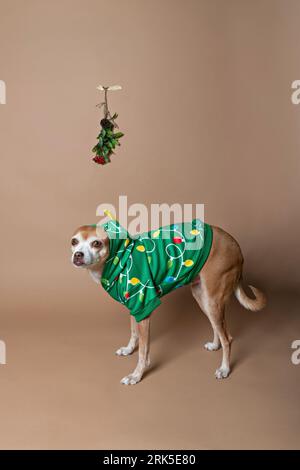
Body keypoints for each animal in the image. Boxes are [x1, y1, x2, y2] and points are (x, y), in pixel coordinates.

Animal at [71, 218, 268, 384]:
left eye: (96, 243)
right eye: (74, 242)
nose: (78, 255)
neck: (119, 258)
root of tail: (236, 245)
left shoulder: (144, 309)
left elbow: (143, 352)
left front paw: (136, 375)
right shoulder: (134, 308)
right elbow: (133, 333)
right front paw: (128, 349)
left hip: (213, 300)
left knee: (228, 338)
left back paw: (225, 369)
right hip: (203, 298)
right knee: (219, 329)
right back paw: (215, 345)